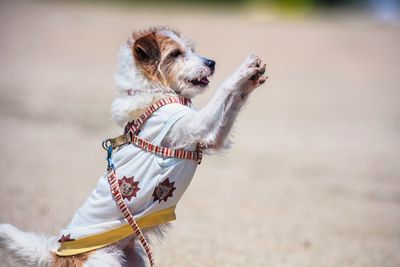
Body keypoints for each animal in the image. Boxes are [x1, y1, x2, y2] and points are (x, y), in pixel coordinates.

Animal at [0, 25, 268, 267]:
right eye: (175, 54)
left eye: (191, 50)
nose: (211, 62)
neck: (155, 93)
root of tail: (57, 255)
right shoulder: (197, 125)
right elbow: (224, 90)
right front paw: (243, 70)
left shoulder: (212, 136)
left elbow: (234, 102)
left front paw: (251, 79)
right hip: (103, 261)